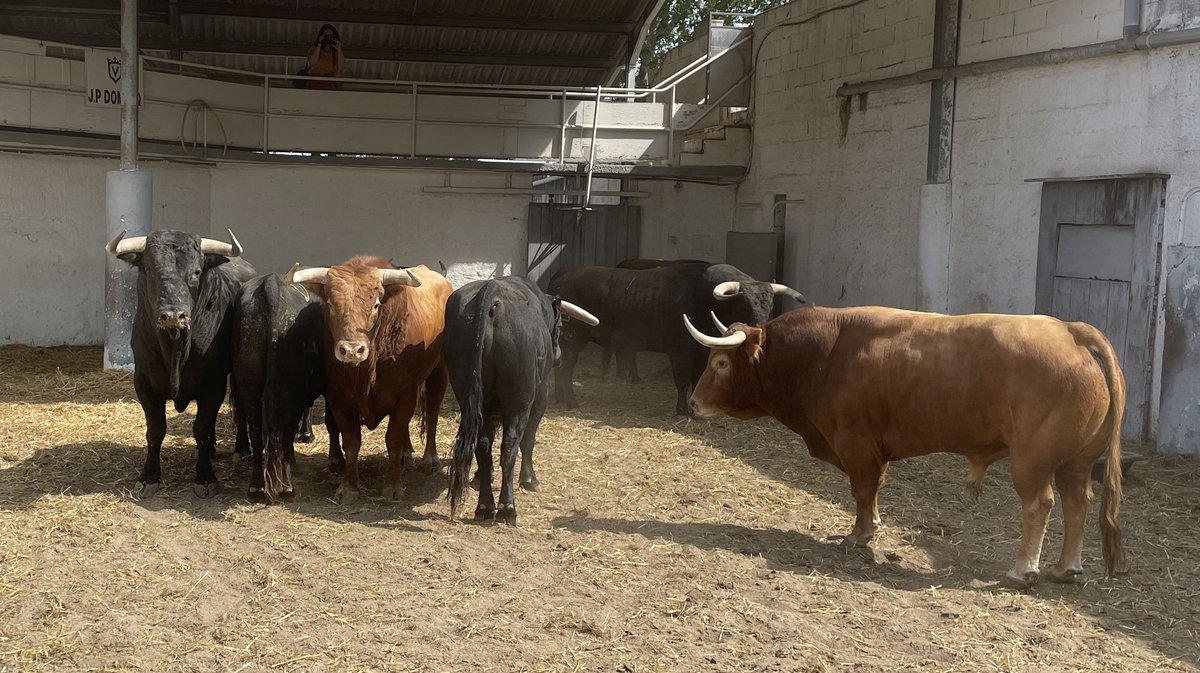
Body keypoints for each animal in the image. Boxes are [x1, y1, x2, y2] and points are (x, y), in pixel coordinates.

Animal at [108, 227, 258, 496]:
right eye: (150, 270)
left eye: (196, 271)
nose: (172, 315)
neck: (175, 349)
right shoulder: (144, 383)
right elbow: (155, 431)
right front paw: (148, 477)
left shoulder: (214, 385)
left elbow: (201, 430)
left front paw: (205, 477)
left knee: (240, 406)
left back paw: (241, 449)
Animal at [292, 256, 451, 503]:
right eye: (331, 305)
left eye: (376, 305)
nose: (351, 350)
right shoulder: (339, 398)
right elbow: (351, 441)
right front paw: (348, 488)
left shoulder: (405, 396)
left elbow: (393, 438)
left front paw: (393, 486)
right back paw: (407, 454)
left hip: (439, 371)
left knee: (432, 413)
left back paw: (430, 459)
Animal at [549, 262, 801, 415]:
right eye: (743, 304)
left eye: (770, 305)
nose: (759, 333)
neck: (701, 298)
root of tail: (563, 277)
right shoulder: (680, 352)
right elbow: (682, 381)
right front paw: (682, 411)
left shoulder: (701, 352)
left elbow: (697, 379)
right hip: (572, 340)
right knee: (566, 369)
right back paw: (571, 402)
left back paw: (560, 398)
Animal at [686, 307, 1123, 585]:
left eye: (720, 363)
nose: (692, 402)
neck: (827, 353)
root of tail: (1072, 331)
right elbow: (872, 491)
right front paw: (871, 527)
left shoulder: (856, 443)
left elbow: (863, 490)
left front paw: (859, 535)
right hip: (1077, 461)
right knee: (1077, 502)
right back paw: (1065, 569)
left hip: (1033, 461)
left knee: (1040, 504)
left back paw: (1023, 571)